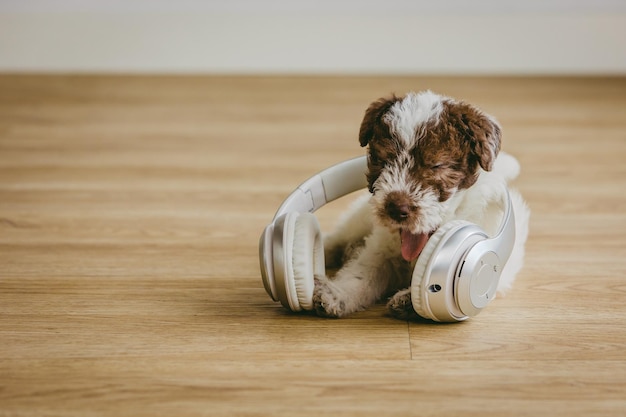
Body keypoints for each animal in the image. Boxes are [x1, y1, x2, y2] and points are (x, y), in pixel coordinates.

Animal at [312, 90, 516, 318]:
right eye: (382, 160)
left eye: (436, 165)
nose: (396, 209)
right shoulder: (380, 250)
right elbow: (360, 275)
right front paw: (336, 294)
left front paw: (412, 299)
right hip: (358, 219)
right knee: (337, 237)